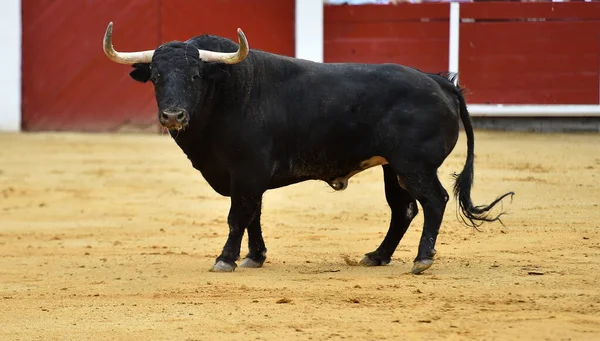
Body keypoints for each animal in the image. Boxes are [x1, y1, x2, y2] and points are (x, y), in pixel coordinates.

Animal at [102, 22, 510, 274]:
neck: (226, 91)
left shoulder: (247, 170)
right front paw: (255, 257)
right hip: (392, 167)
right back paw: (377, 256)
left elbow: (239, 215)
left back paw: (422, 260)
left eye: (194, 76)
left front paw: (226, 259)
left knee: (433, 201)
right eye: (156, 76)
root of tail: (439, 81)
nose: (173, 115)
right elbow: (254, 215)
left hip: (415, 165)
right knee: (404, 209)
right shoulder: (246, 176)